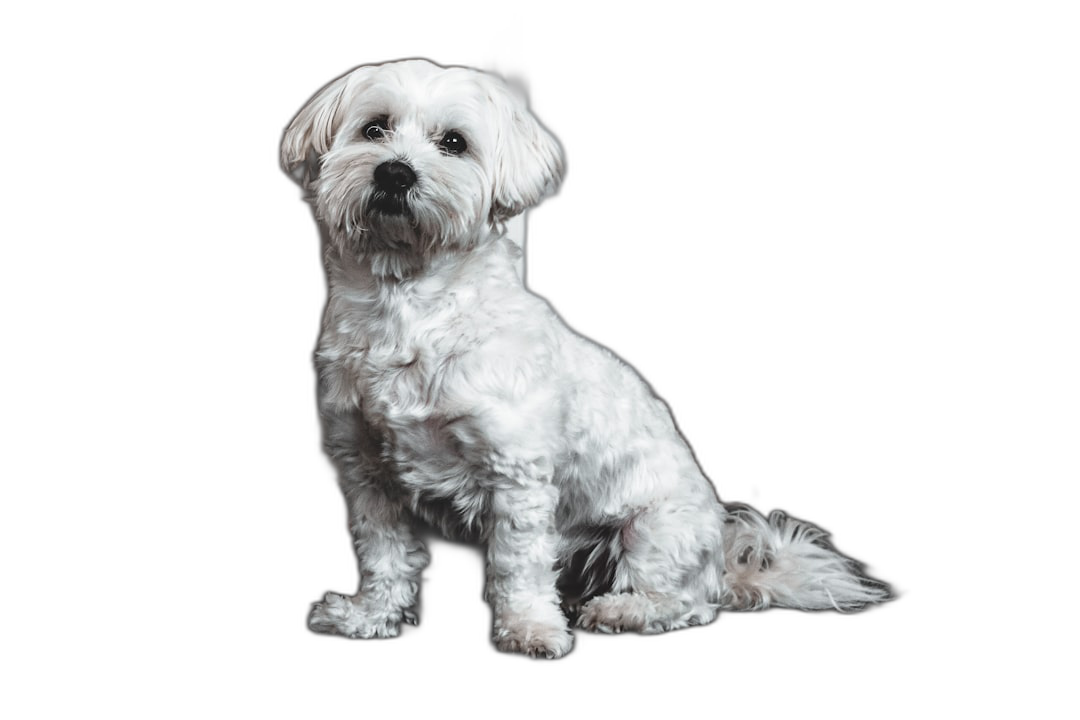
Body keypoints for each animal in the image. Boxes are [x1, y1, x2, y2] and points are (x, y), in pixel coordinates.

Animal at [282, 62, 889, 660]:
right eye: (374, 129)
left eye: (453, 142)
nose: (394, 173)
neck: (409, 308)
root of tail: (722, 568)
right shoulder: (367, 473)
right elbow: (385, 555)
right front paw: (370, 617)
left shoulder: (516, 475)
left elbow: (518, 566)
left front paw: (530, 630)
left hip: (655, 531)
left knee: (684, 604)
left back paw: (621, 611)